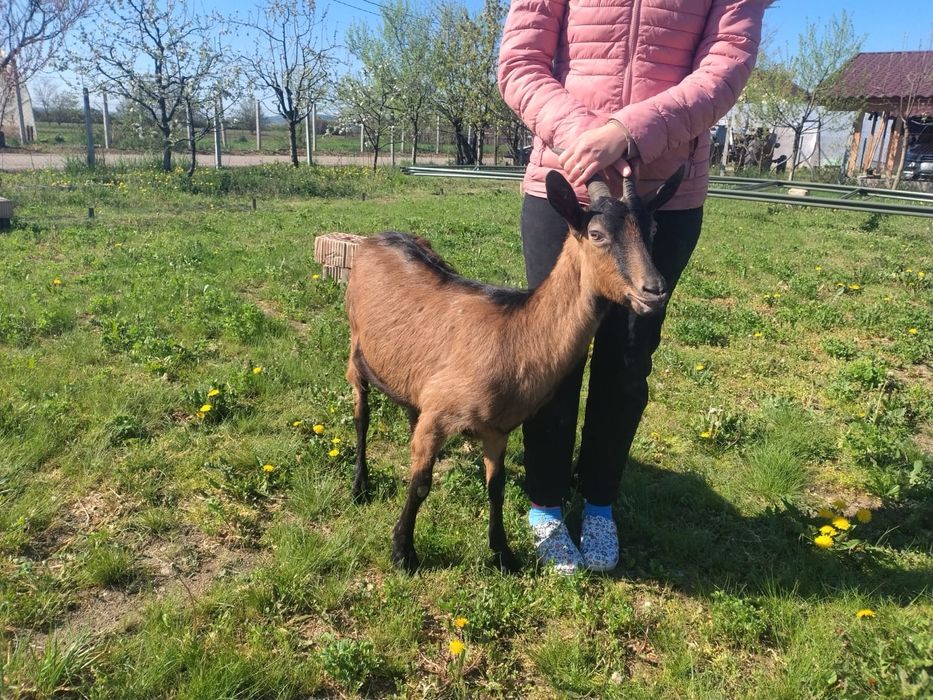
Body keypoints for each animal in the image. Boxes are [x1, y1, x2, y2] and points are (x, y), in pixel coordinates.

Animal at [344, 167, 684, 572]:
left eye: (653, 230)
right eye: (597, 234)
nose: (655, 291)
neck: (514, 334)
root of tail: (376, 238)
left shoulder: (497, 429)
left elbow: (497, 487)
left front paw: (503, 554)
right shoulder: (440, 415)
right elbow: (421, 482)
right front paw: (403, 551)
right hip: (355, 348)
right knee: (361, 414)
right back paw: (359, 486)